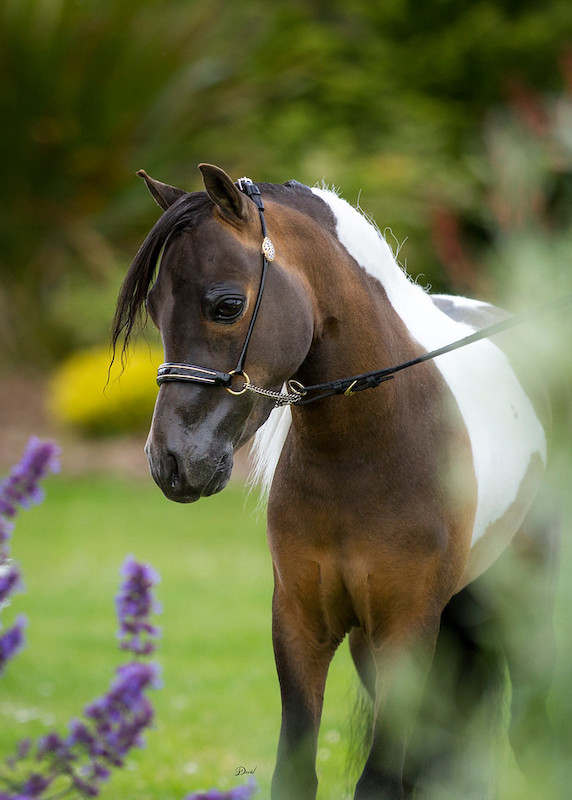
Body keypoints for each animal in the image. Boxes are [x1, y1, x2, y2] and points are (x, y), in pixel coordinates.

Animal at [112, 164, 557, 799]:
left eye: (226, 305)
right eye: (154, 307)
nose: (170, 461)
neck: (366, 454)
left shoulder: (405, 631)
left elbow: (380, 782)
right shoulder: (304, 627)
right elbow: (297, 771)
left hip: (518, 604)